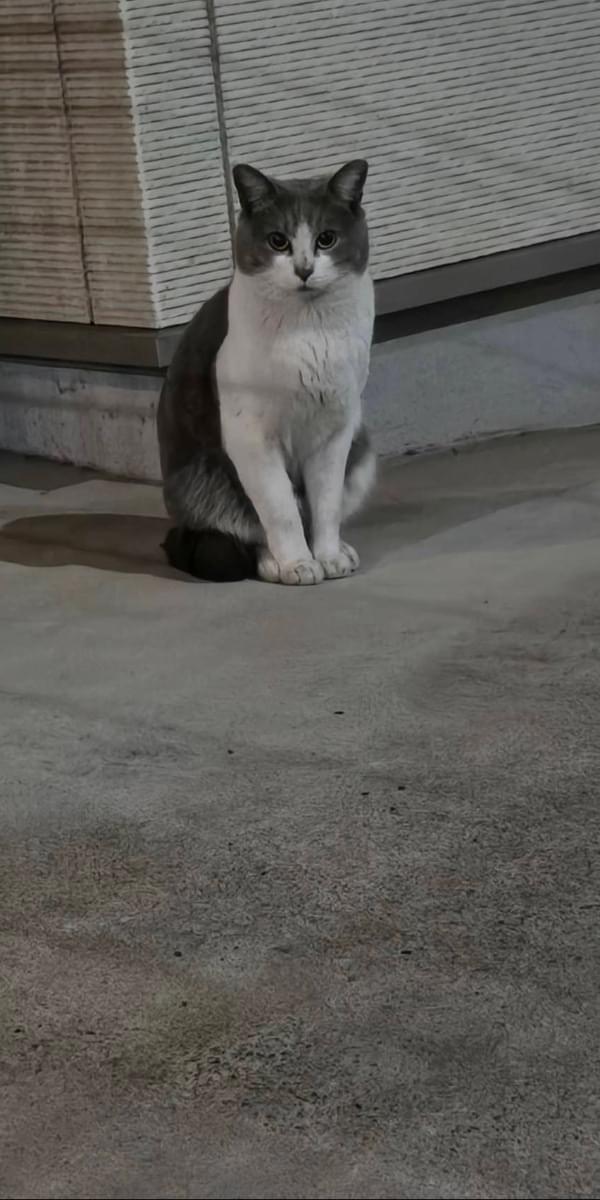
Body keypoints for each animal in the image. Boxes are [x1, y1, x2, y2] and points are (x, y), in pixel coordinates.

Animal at [157, 158, 376, 584]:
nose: (304, 269)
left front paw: (328, 555)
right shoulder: (251, 436)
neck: (310, 330)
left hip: (363, 445)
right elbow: (280, 510)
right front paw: (298, 563)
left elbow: (326, 503)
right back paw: (274, 562)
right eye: (278, 241)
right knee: (249, 526)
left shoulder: (336, 428)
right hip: (205, 480)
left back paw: (340, 549)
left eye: (326, 239)